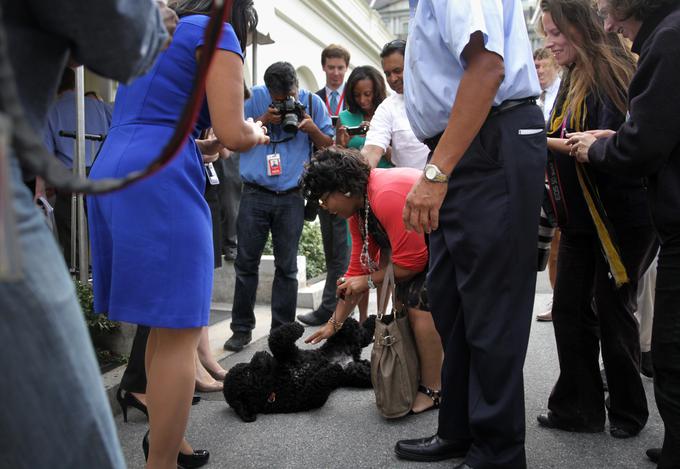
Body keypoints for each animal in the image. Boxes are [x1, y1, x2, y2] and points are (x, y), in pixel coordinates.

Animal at [223, 314, 374, 420]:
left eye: (246, 365)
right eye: (247, 372)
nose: (260, 354)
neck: (273, 381)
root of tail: (354, 357)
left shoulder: (291, 354)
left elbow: (277, 339)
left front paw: (297, 326)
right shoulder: (305, 398)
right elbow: (318, 383)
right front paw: (333, 369)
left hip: (345, 334)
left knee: (359, 331)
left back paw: (374, 319)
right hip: (358, 372)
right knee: (364, 342)